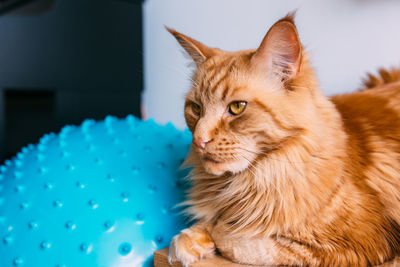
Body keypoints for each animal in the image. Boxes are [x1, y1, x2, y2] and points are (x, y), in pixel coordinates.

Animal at [166, 13, 400, 267]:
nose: (199, 140)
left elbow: (241, 240)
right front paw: (190, 239)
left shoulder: (361, 243)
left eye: (237, 107)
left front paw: (217, 230)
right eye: (196, 109)